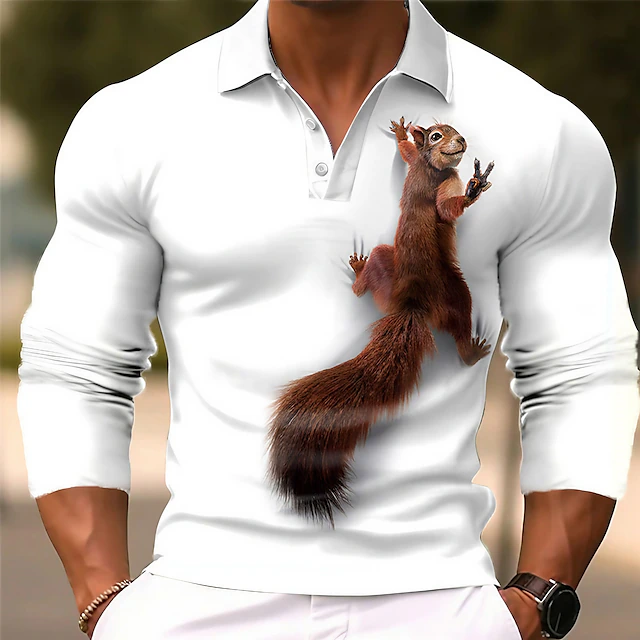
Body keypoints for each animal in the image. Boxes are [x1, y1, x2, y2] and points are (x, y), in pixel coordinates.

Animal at [265, 116, 495, 529]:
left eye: (449, 131)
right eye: (437, 135)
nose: (462, 141)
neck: (431, 167)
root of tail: (411, 306)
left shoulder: (418, 166)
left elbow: (405, 155)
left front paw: (402, 134)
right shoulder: (442, 181)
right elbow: (447, 208)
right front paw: (472, 188)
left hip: (386, 263)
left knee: (366, 288)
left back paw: (359, 274)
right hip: (456, 291)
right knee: (460, 325)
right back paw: (472, 350)